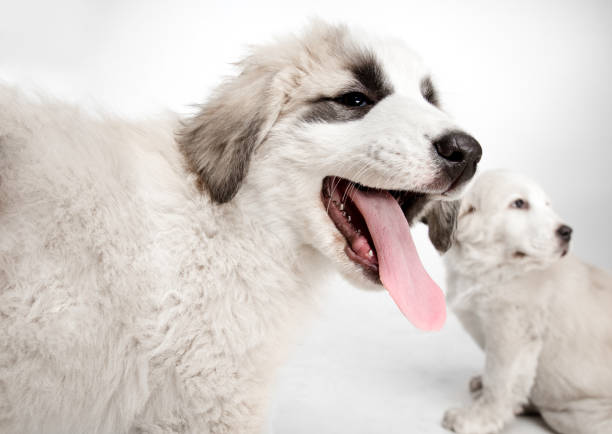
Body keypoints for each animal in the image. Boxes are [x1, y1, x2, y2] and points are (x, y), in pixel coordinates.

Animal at [424, 170, 612, 434]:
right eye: (519, 203)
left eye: (547, 205)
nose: (567, 232)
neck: (496, 267)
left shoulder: (512, 335)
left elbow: (500, 380)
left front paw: (478, 417)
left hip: (580, 417)